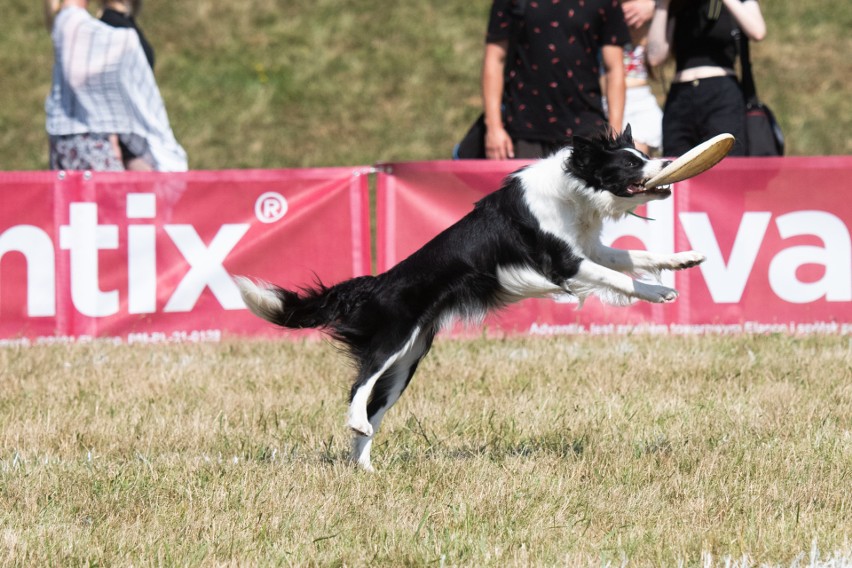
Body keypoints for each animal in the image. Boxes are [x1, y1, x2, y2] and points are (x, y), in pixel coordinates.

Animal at [235, 127, 704, 470]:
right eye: (631, 162)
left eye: (643, 154)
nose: (668, 164)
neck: (573, 190)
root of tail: (378, 282)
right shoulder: (563, 263)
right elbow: (618, 277)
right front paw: (657, 292)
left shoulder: (588, 248)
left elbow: (632, 257)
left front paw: (684, 259)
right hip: (392, 339)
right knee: (359, 386)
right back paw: (356, 428)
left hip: (407, 362)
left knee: (375, 406)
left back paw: (364, 466)